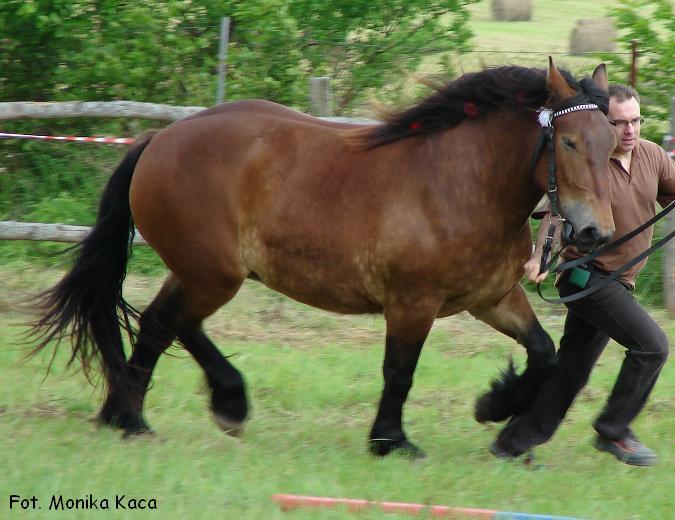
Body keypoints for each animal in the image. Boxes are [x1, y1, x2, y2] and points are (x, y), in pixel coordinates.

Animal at [33, 60, 616, 460]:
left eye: (612, 141)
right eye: (568, 142)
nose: (595, 233)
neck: (461, 183)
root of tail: (159, 138)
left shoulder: (492, 298)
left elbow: (543, 353)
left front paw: (494, 405)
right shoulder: (412, 303)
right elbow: (399, 373)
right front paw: (391, 440)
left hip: (197, 271)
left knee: (158, 325)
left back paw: (128, 417)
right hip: (213, 275)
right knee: (175, 324)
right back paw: (222, 403)